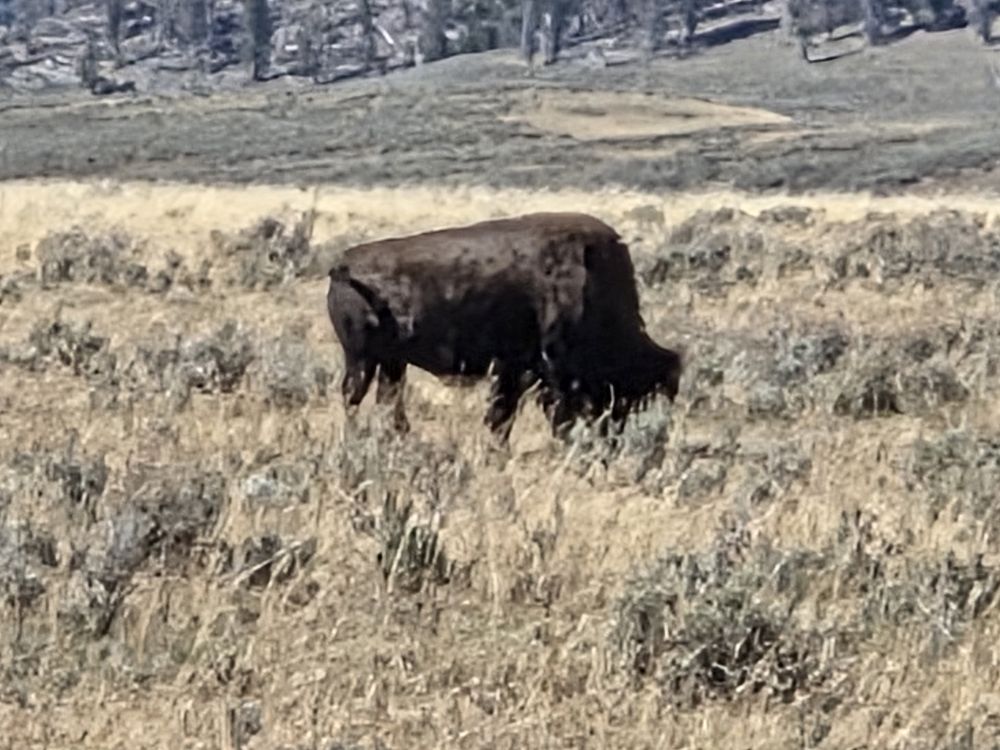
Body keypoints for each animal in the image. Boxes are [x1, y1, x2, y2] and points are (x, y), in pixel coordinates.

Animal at [325, 212, 682, 441]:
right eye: (624, 395)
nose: (613, 438)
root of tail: (344, 263)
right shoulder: (521, 371)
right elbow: (504, 419)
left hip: (390, 363)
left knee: (388, 404)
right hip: (362, 361)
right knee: (354, 400)